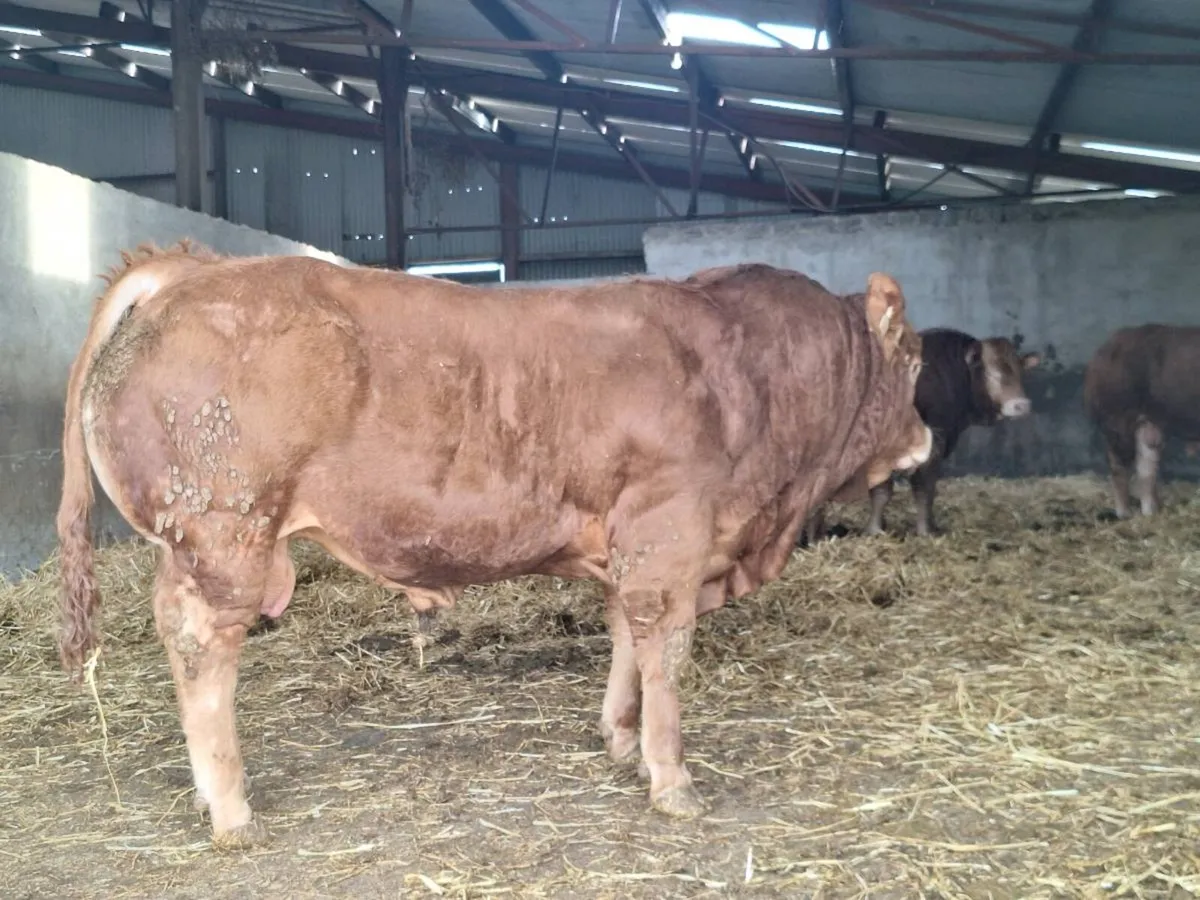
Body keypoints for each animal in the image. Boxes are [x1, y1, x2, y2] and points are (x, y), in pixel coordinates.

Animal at [56, 245, 931, 849]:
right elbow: (665, 653)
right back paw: (232, 809)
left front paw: (619, 738)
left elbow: (623, 636)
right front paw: (671, 776)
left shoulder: (627, 544)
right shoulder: (668, 535)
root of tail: (191, 270)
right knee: (202, 652)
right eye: (917, 360)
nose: (926, 439)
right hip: (225, 536)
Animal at [1083, 323, 1200, 518]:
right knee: (1119, 466)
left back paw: (1150, 511)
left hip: (1148, 425)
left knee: (1146, 466)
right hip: (1119, 421)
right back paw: (1125, 513)